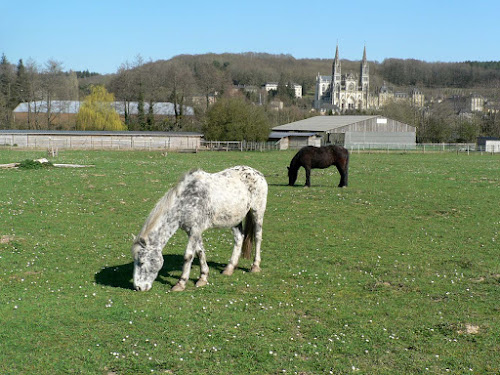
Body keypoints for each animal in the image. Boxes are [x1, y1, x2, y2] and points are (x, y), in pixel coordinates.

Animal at [131, 166, 268, 292]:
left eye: (142, 262)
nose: (138, 287)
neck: (187, 200)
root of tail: (258, 173)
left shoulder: (195, 230)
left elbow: (188, 255)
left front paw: (181, 283)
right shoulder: (192, 231)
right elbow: (200, 252)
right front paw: (203, 278)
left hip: (257, 212)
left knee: (257, 237)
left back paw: (255, 266)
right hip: (234, 220)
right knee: (239, 238)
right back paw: (229, 268)